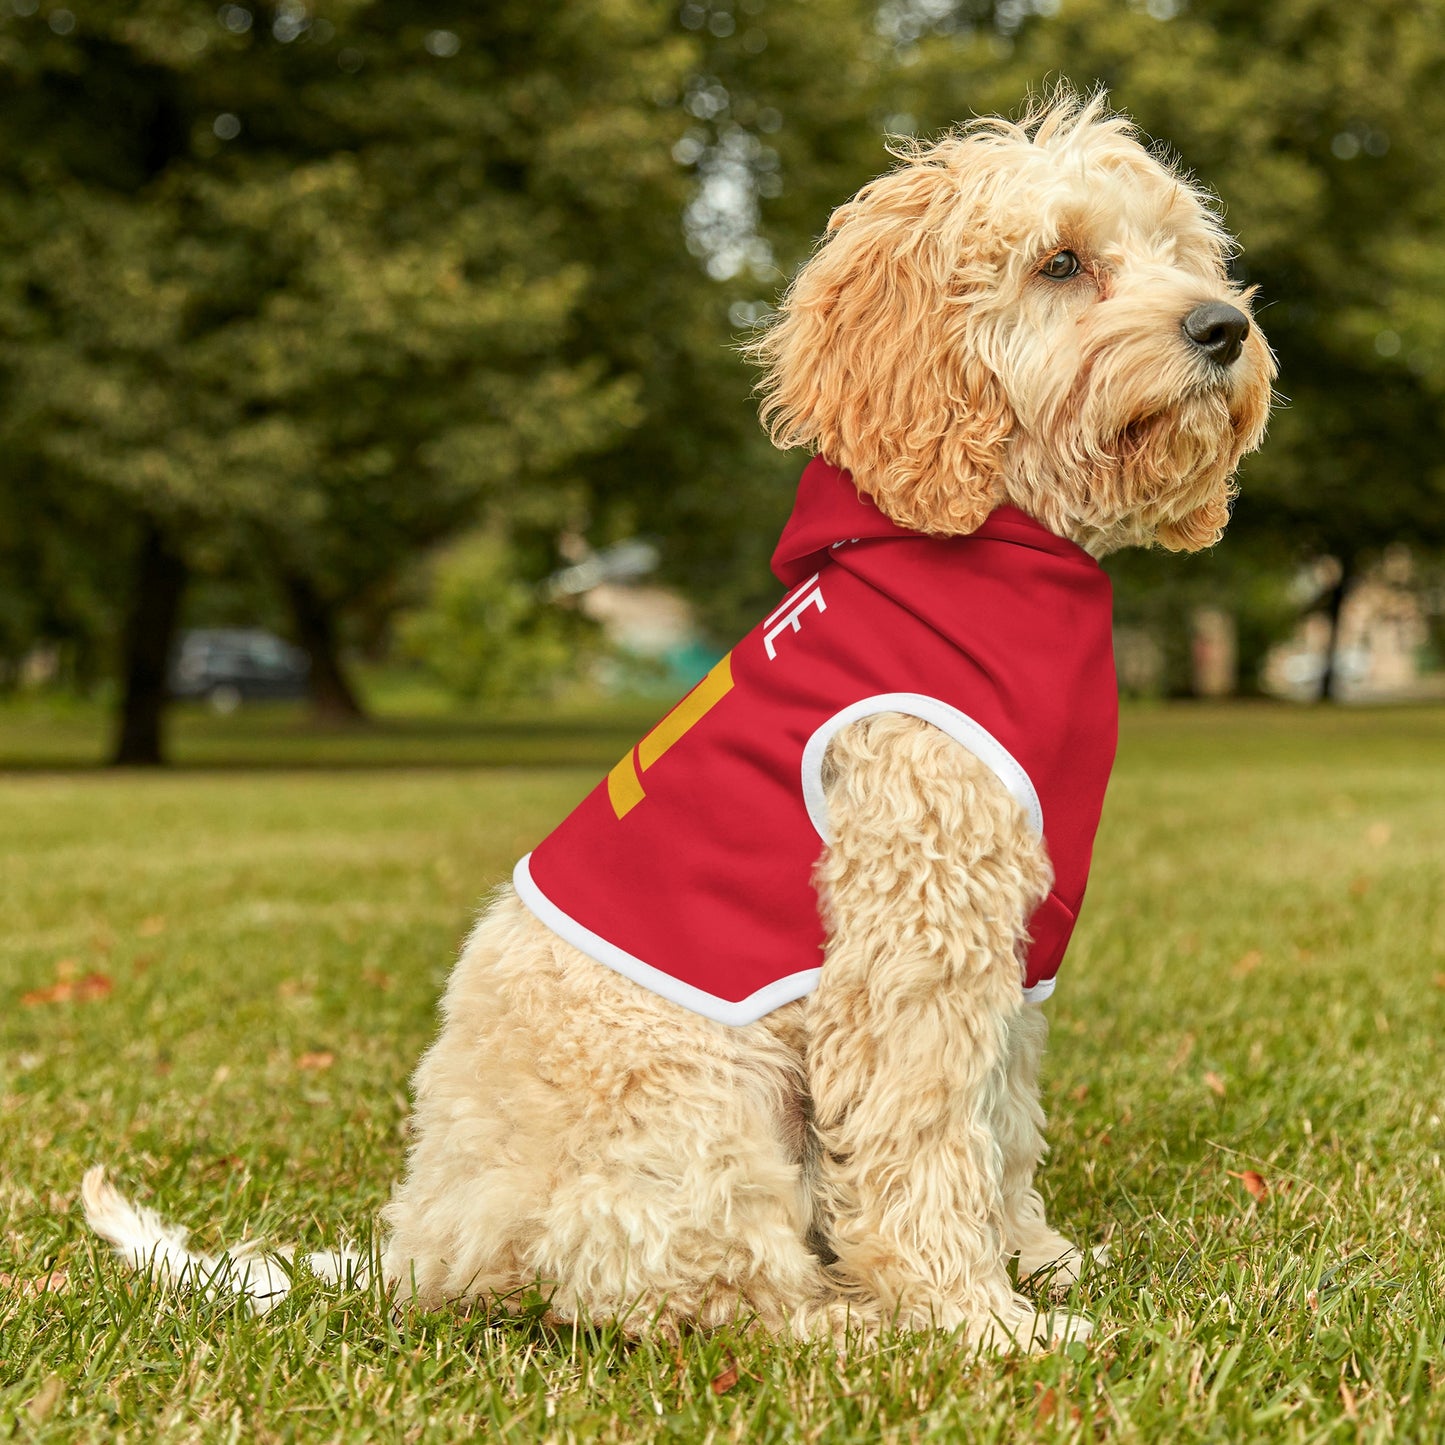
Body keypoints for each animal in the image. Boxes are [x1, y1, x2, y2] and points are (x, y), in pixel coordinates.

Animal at [84, 93, 1271, 1352]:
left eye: (1180, 252)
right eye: (1059, 262)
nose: (1222, 327)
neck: (990, 547)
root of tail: (424, 1245)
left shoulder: (1011, 946)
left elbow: (999, 1122)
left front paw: (1034, 1260)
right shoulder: (913, 936)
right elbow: (924, 1139)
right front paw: (976, 1318)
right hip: (704, 1101)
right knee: (698, 1290)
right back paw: (852, 1322)